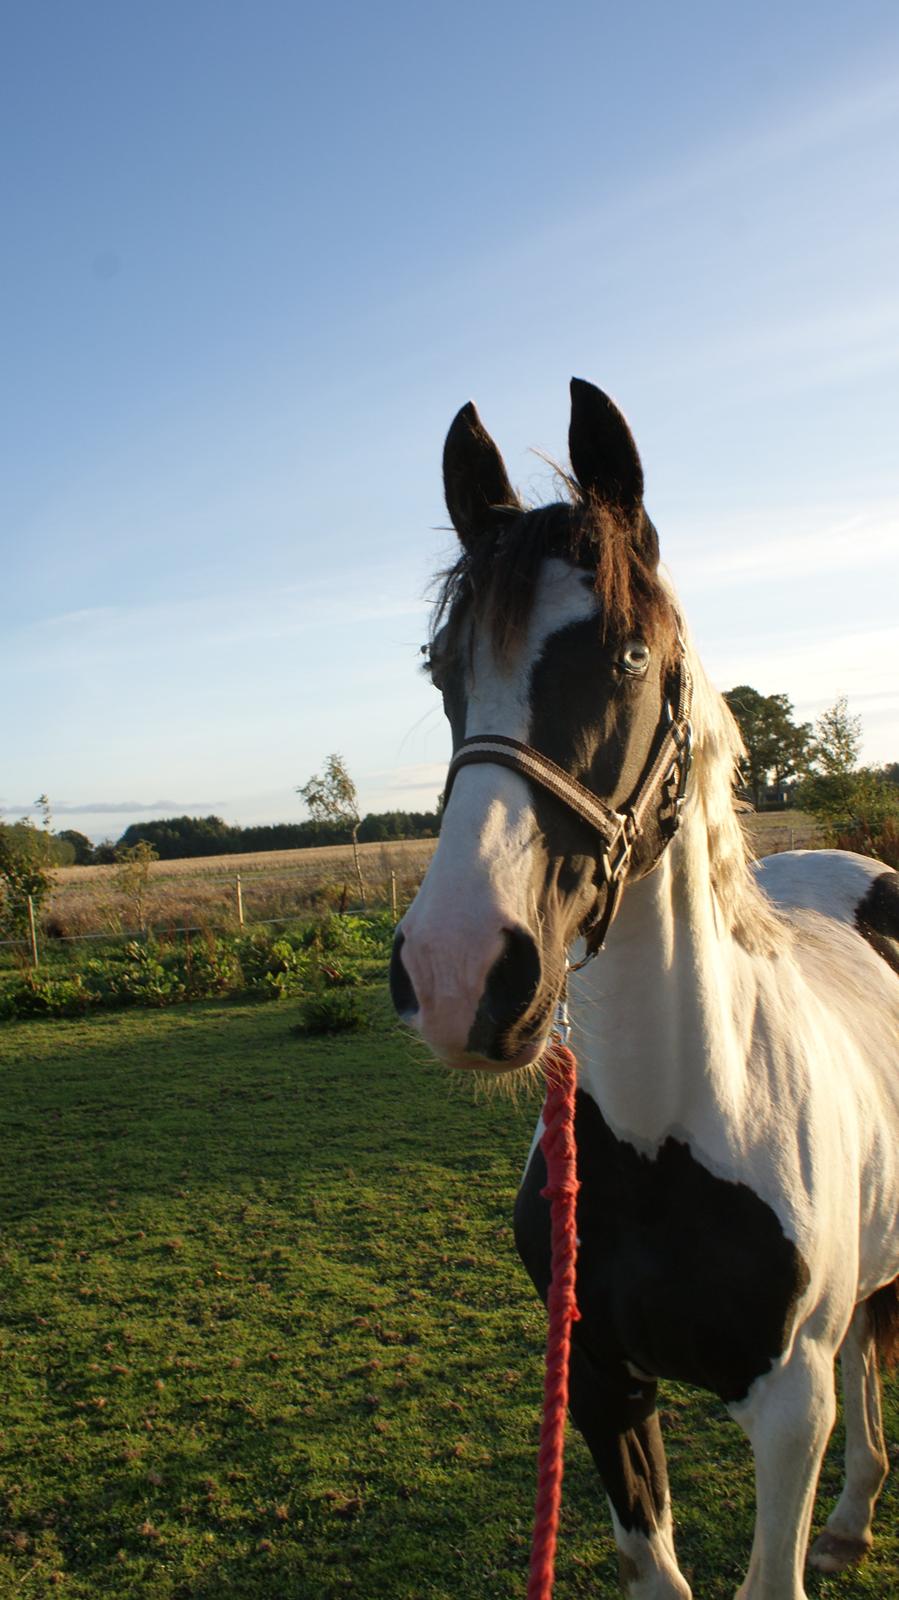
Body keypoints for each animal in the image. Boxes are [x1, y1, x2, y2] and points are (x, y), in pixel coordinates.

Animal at [388, 384, 895, 1600]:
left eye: (625, 654)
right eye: (440, 668)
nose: (456, 973)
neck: (674, 1127)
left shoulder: (786, 1409)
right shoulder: (600, 1383)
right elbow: (651, 1560)